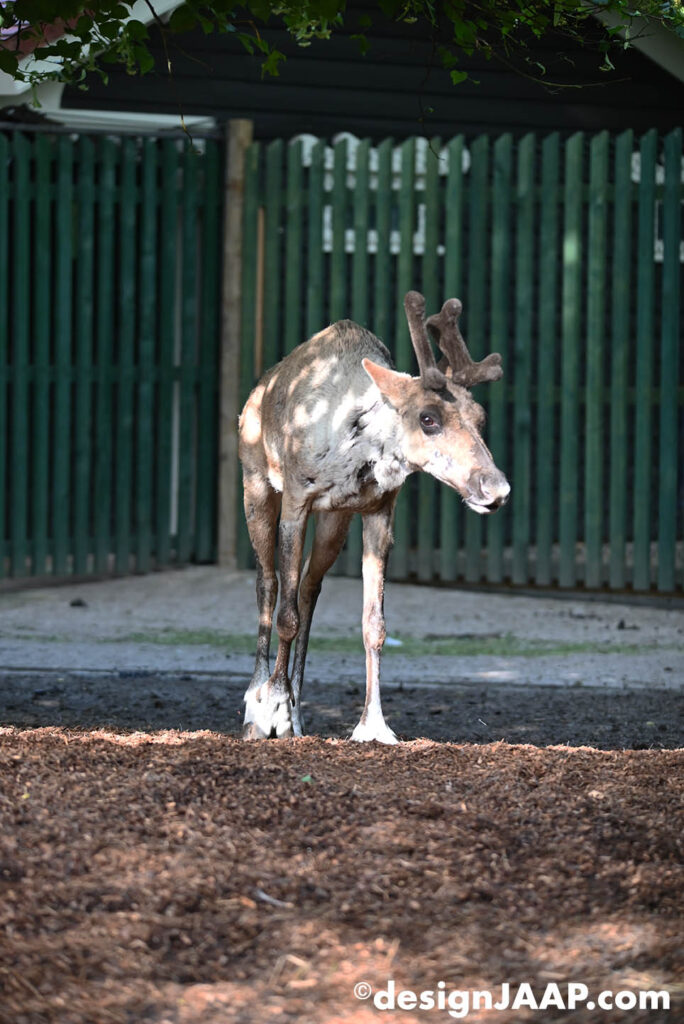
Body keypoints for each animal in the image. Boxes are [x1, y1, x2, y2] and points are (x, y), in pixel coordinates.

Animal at [238, 291, 509, 744]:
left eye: (481, 417)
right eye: (428, 418)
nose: (496, 488)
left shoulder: (379, 509)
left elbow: (374, 624)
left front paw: (373, 725)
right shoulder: (296, 499)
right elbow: (285, 616)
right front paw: (272, 711)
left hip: (335, 521)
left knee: (309, 587)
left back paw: (298, 710)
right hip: (255, 482)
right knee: (268, 584)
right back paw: (257, 704)